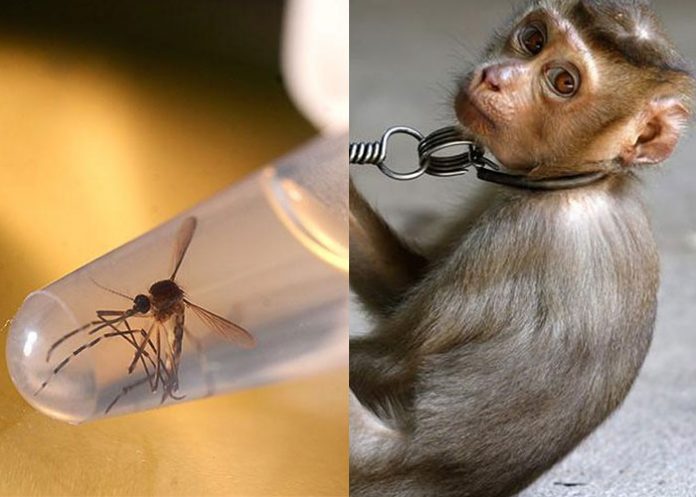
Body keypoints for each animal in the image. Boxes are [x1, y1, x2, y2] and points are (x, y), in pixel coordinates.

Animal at [349, 1, 695, 496]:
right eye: (532, 39)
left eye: (563, 82)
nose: (496, 76)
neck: (586, 181)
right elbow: (400, 286)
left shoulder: (521, 234)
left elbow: (393, 361)